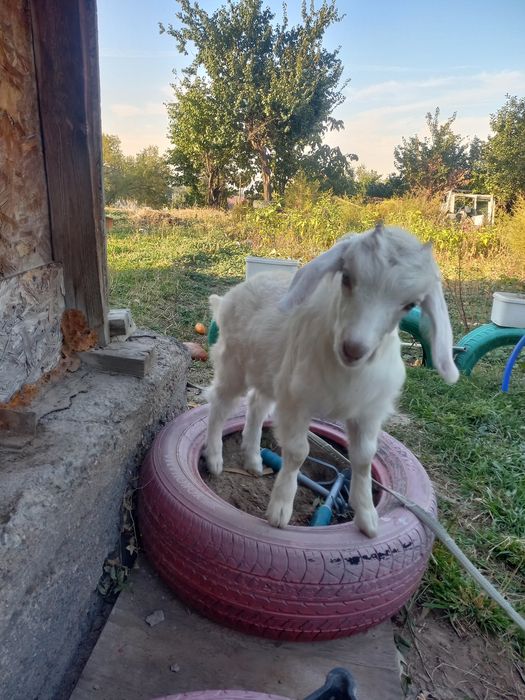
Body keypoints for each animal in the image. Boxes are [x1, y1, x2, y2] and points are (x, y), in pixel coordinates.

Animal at [205, 224, 458, 538]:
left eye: (410, 304)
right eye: (347, 278)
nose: (354, 348)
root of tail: (232, 295)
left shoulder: (368, 412)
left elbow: (363, 459)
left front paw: (368, 519)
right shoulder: (297, 402)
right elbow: (298, 453)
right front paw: (280, 510)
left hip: (269, 372)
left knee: (256, 406)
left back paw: (253, 460)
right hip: (234, 363)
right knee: (220, 404)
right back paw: (215, 459)